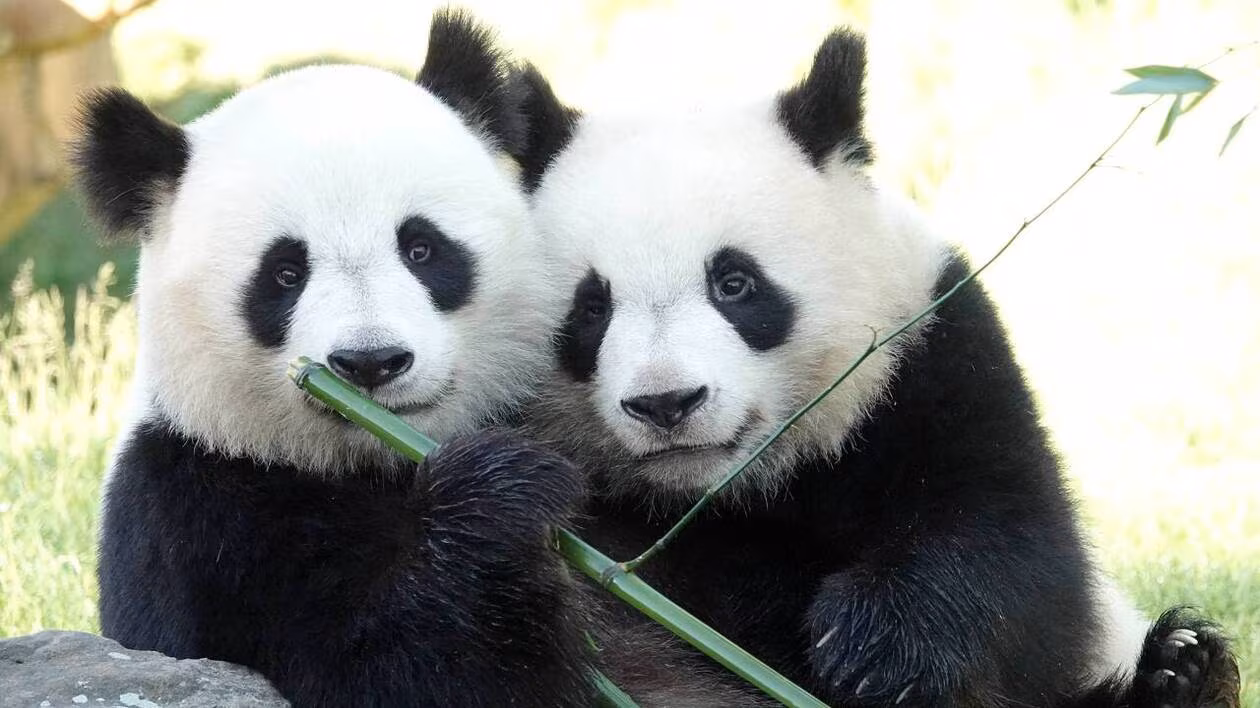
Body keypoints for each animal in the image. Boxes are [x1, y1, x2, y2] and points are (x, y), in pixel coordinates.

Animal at [73, 12, 601, 706]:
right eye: (284, 274)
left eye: (422, 248)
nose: (370, 362)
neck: (376, 460)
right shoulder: (189, 506)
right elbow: (388, 667)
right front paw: (500, 494)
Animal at [511, 27, 1241, 708]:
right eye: (591, 308)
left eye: (735, 284)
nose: (667, 402)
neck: (732, 487)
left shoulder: (933, 357)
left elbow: (1013, 548)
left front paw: (873, 646)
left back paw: (1183, 671)